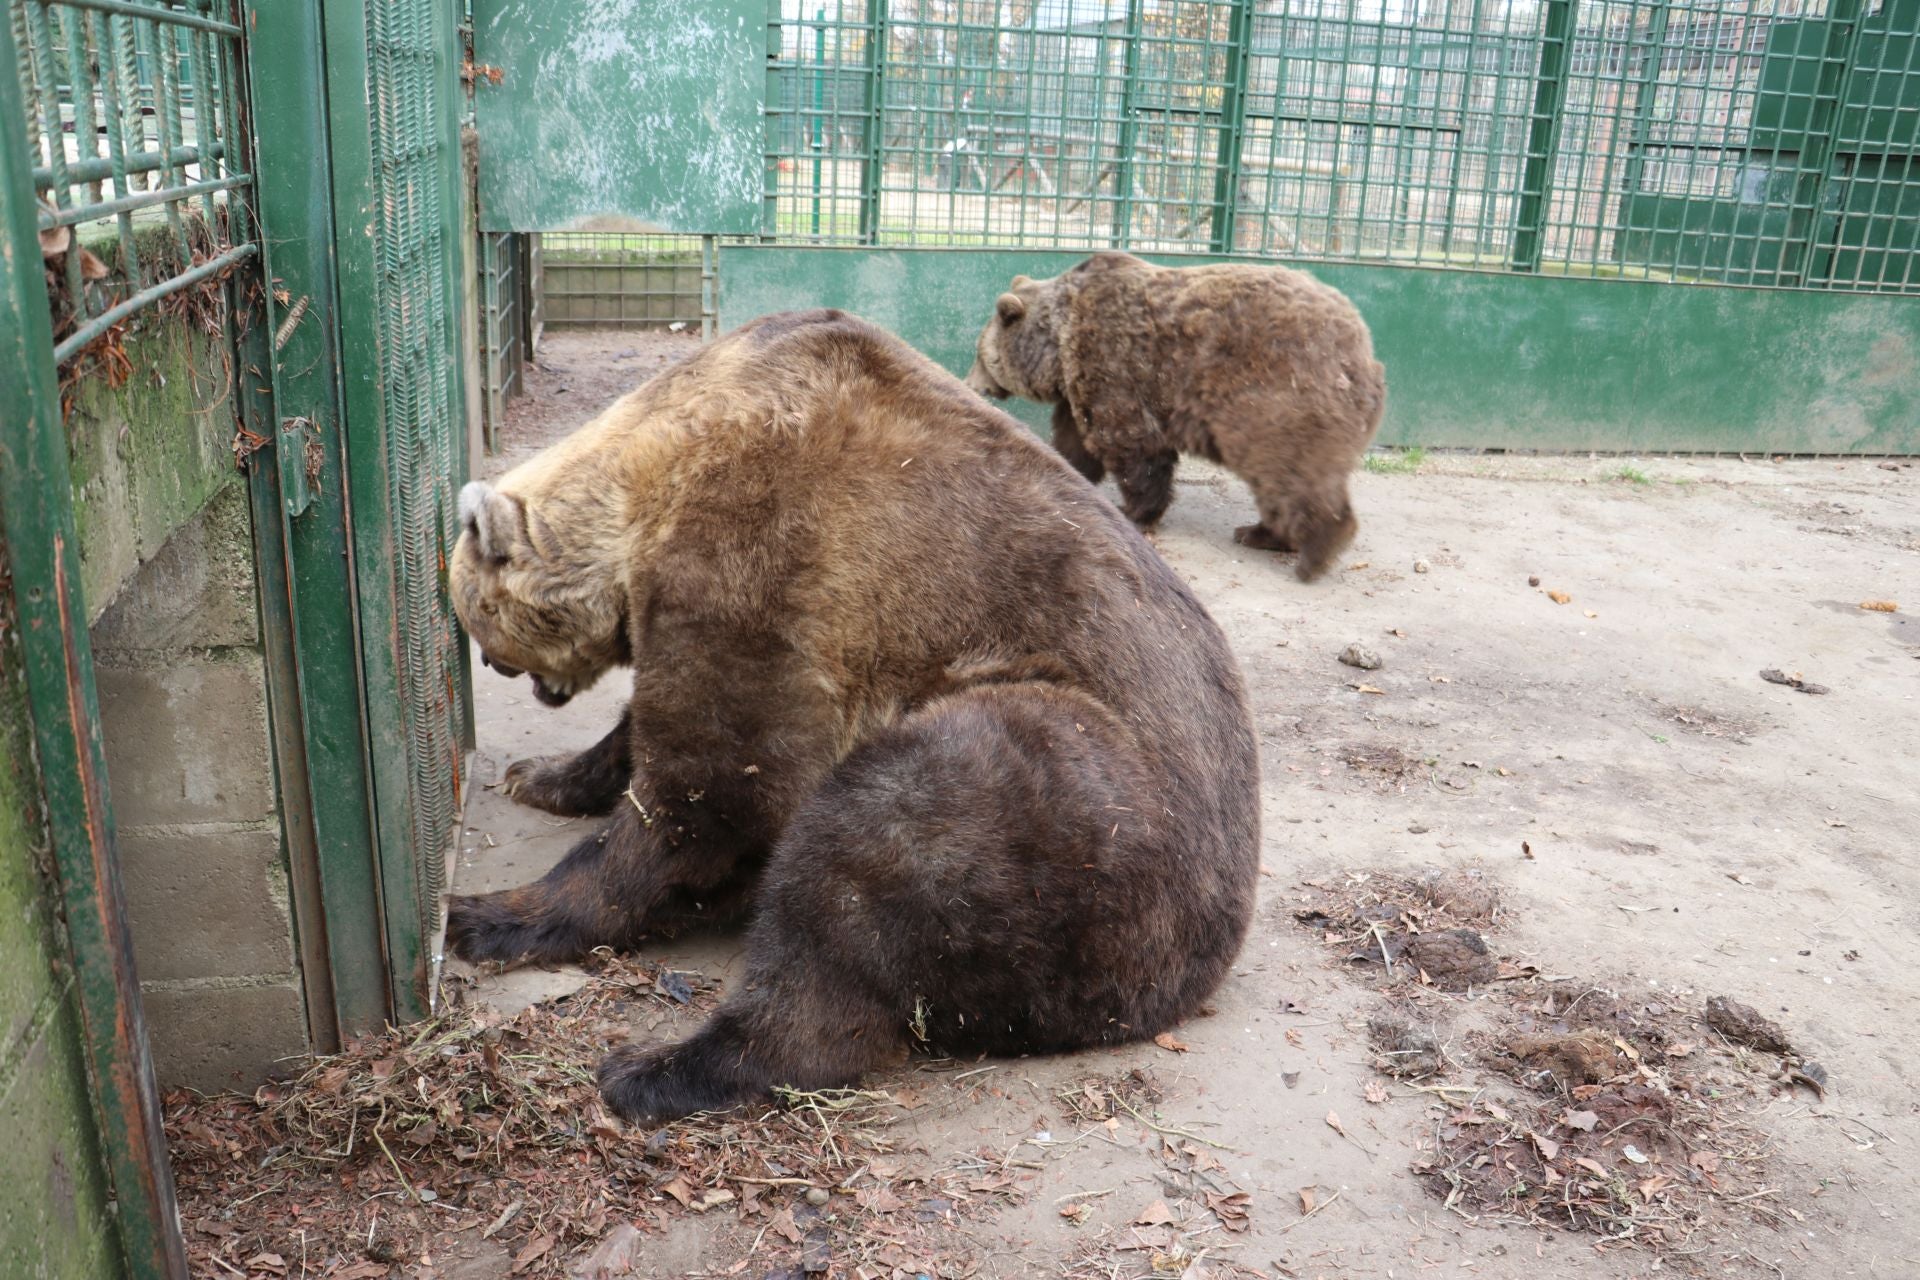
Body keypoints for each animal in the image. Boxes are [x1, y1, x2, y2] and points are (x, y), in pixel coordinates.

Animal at [441, 307, 1267, 1120]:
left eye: (476, 620)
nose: (501, 671)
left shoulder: (769, 547)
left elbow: (708, 790)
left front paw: (491, 914)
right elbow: (644, 742)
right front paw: (541, 775)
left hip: (1093, 801)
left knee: (884, 842)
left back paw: (658, 1068)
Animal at [967, 249, 1390, 579]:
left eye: (979, 353)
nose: (971, 383)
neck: (1058, 343)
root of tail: (1363, 350)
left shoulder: (1116, 364)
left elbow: (1131, 444)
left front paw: (1133, 510)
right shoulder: (1080, 390)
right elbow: (1076, 444)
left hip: (1278, 396)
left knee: (1291, 475)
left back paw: (1304, 550)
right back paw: (1262, 533)